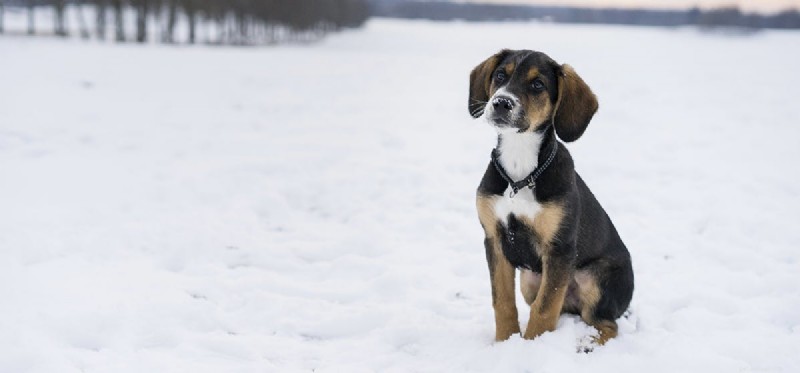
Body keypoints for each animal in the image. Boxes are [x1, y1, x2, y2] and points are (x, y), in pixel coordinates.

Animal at [468, 50, 632, 346]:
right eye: (500, 75)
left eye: (537, 85)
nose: (501, 103)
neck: (520, 172)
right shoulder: (494, 239)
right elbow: (503, 301)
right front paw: (505, 342)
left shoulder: (560, 248)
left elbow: (544, 310)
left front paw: (532, 346)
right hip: (530, 279)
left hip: (595, 279)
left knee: (606, 324)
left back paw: (586, 344)